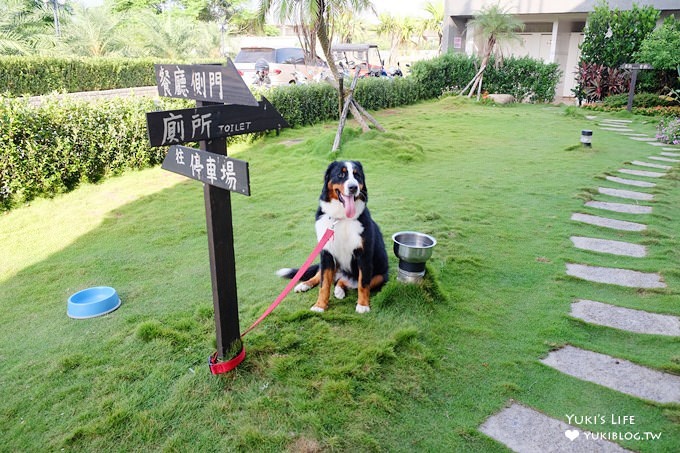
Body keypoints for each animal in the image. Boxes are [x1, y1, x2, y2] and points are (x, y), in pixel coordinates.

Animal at [278, 161, 388, 312]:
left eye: (357, 175)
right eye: (341, 174)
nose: (353, 187)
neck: (342, 218)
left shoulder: (364, 255)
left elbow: (363, 284)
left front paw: (363, 305)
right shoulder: (326, 254)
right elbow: (324, 284)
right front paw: (319, 305)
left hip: (380, 276)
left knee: (347, 282)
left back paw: (339, 290)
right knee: (320, 275)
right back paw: (304, 284)